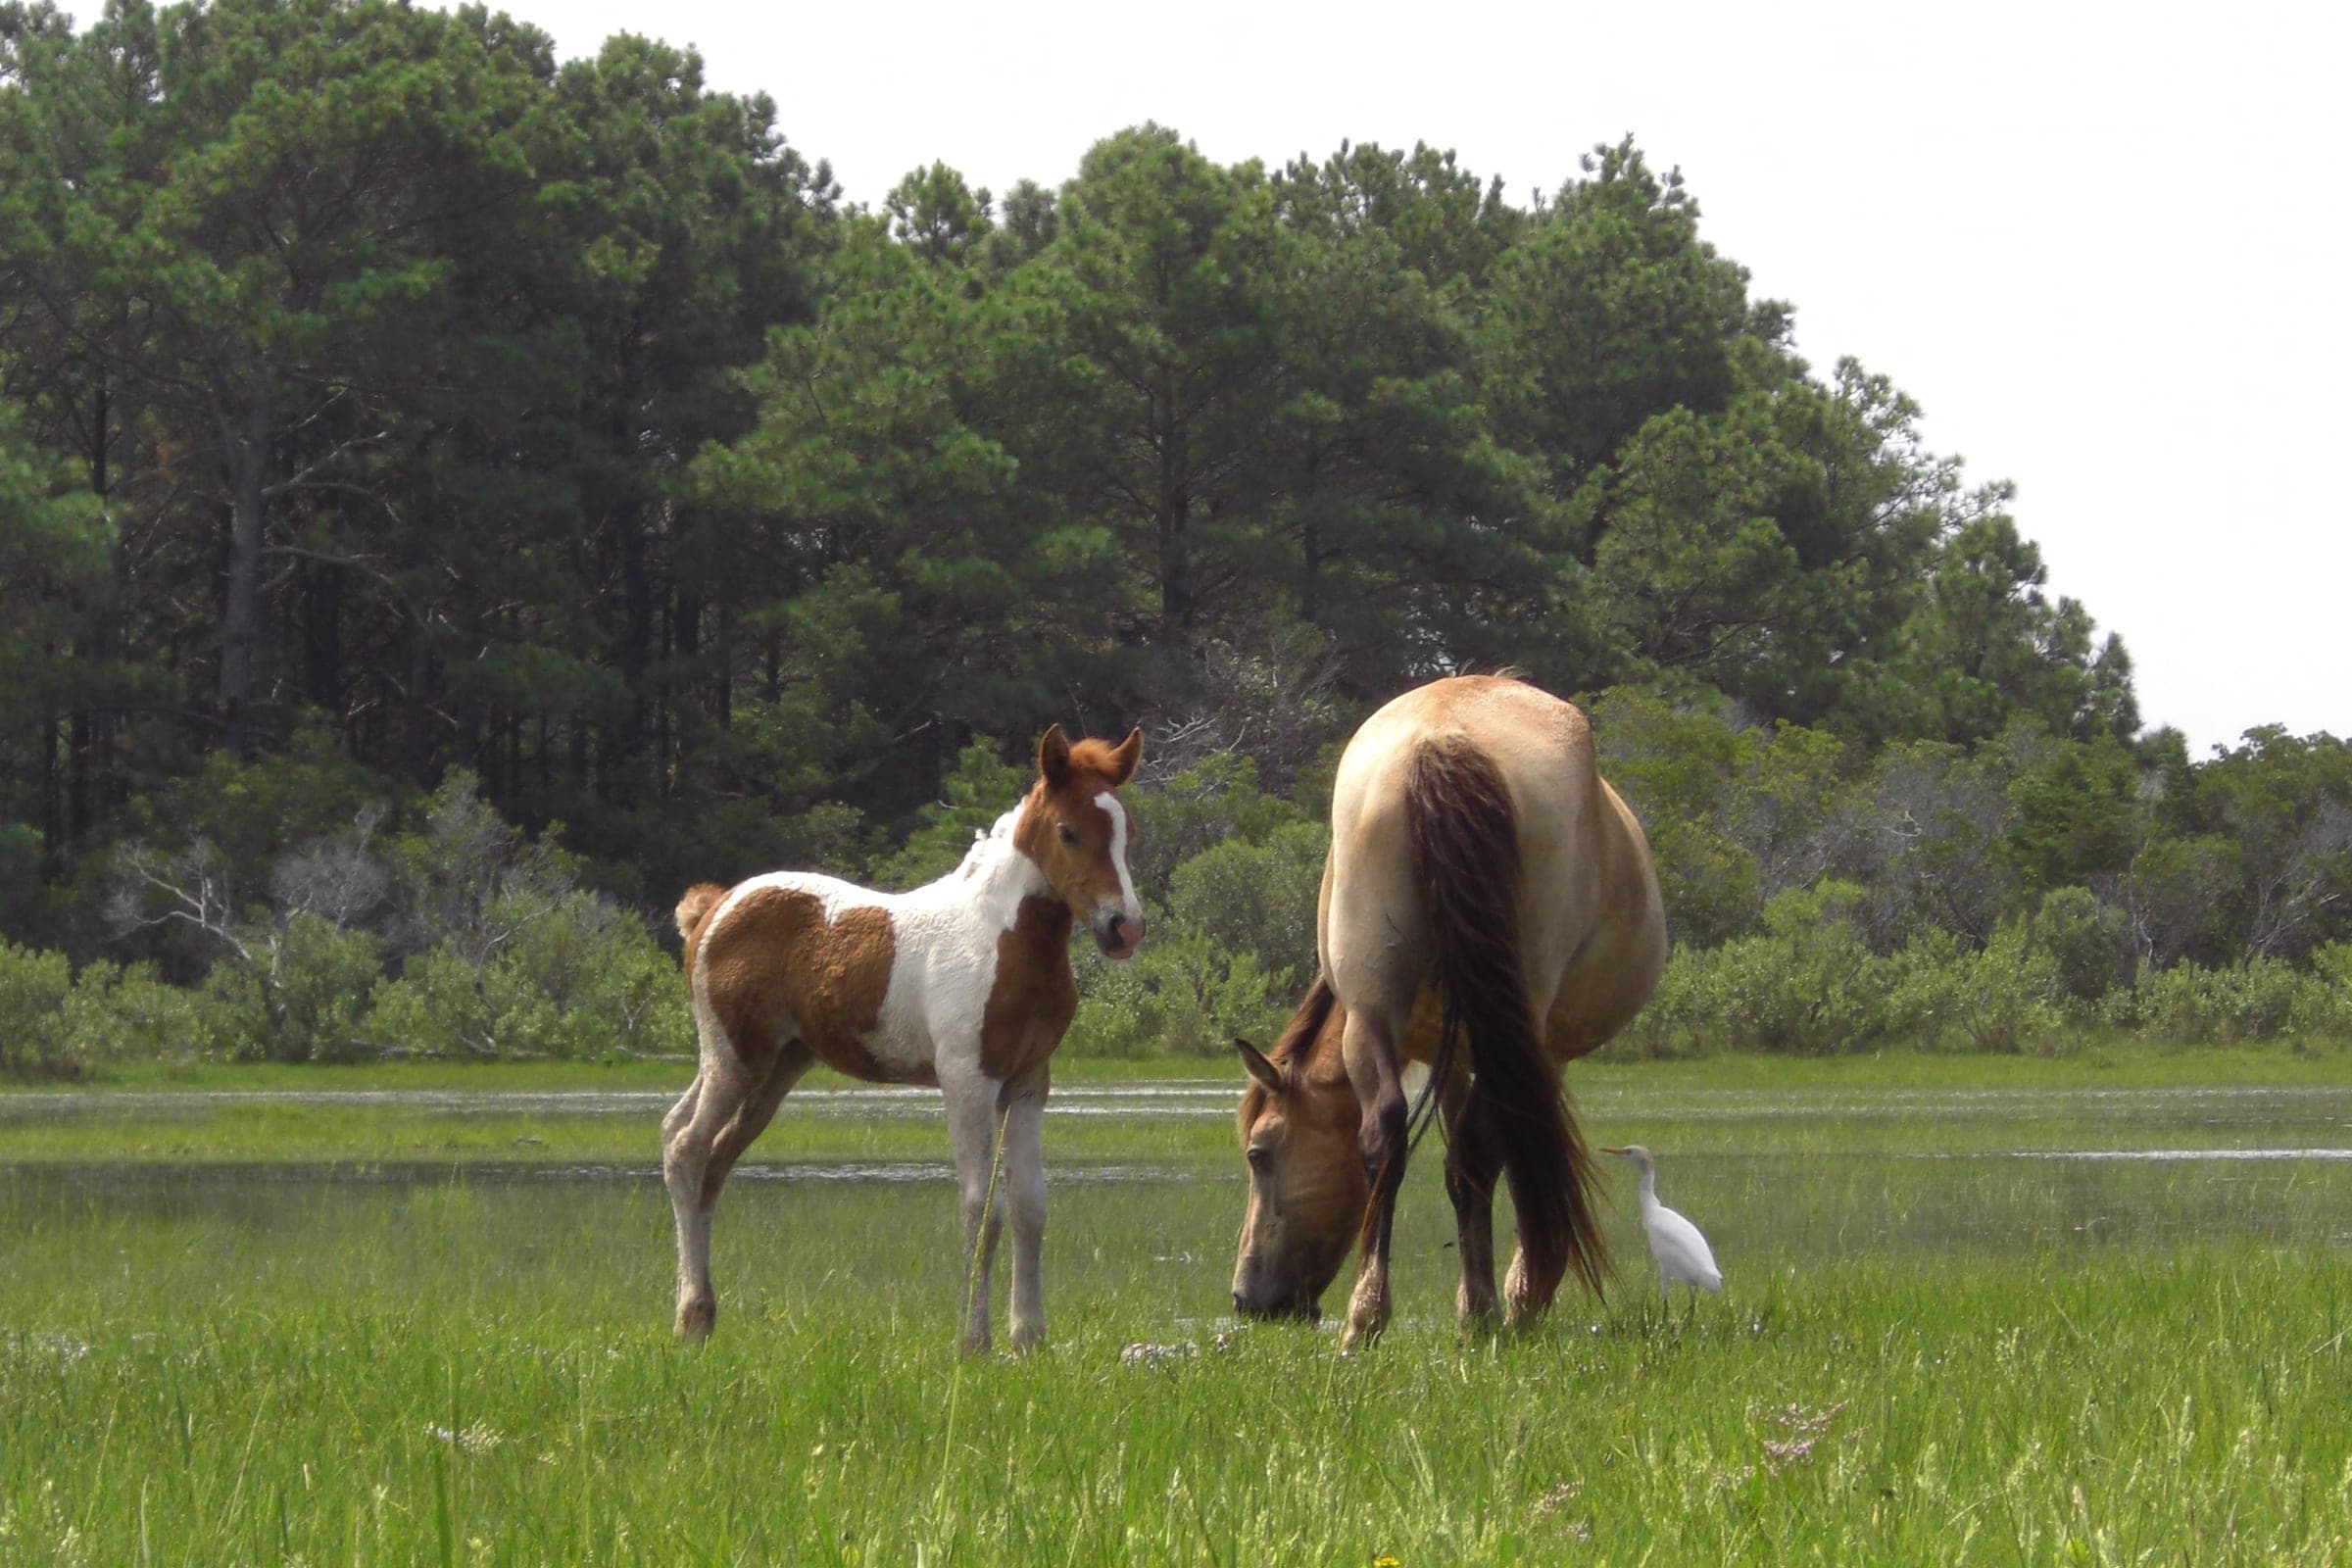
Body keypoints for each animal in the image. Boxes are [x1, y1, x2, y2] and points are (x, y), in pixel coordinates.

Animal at [663, 724, 1145, 1352]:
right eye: (1068, 831)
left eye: (1126, 830)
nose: (1124, 926)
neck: (1003, 938)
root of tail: (714, 908)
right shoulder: (966, 1080)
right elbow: (980, 1209)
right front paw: (974, 1341)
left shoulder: (1028, 1081)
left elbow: (1029, 1206)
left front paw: (1028, 1339)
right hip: (735, 1059)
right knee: (686, 1149)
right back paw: (691, 1314)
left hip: (773, 1070)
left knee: (706, 1156)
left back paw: (702, 1316)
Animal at [1230, 675, 1664, 1350]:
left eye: (1259, 1153)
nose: (1246, 1298)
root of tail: (1441, 739)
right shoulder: (1502, 1052)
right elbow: (1491, 1157)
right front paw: (1497, 1298)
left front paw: (1491, 1299)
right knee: (1473, 1146)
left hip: (1374, 1008)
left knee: (1387, 1136)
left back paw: (1370, 1317)